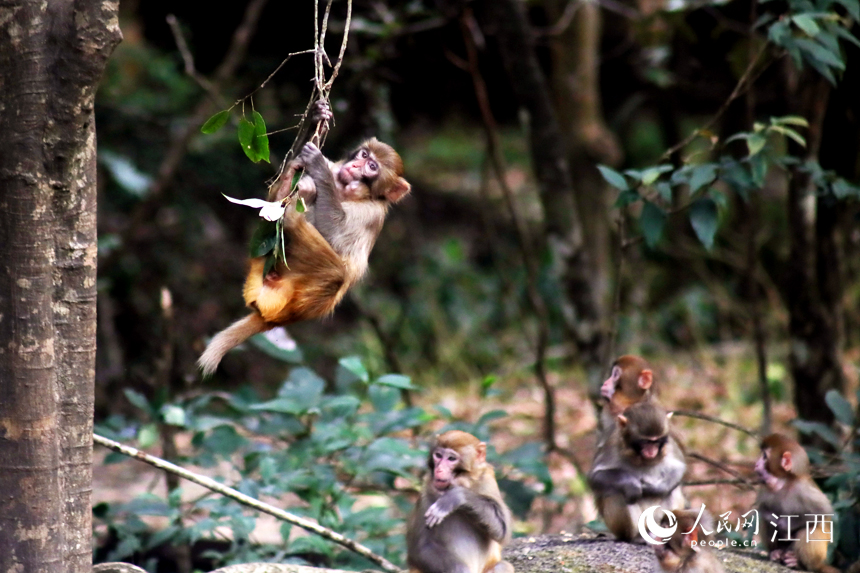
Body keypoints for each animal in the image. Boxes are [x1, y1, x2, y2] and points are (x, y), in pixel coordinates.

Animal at [198, 137, 411, 376]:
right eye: (364, 155)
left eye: (372, 167)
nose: (356, 165)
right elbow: (270, 207)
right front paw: (293, 170)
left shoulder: (371, 212)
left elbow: (336, 235)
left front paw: (318, 167)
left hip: (312, 298)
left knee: (336, 273)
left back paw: (295, 213)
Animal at [406, 430, 514, 573]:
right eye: (438, 455)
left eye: (451, 458)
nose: (439, 469)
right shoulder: (426, 490)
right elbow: (422, 547)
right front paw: (461, 570)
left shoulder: (487, 480)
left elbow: (503, 530)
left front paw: (454, 497)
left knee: (502, 566)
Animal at [587, 401, 686, 542]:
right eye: (645, 441)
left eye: (656, 441)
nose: (651, 451)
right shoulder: (612, 444)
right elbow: (596, 476)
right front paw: (631, 484)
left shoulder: (670, 444)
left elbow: (679, 468)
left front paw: (656, 489)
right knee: (618, 493)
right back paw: (635, 537)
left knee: (673, 490)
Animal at [755, 433, 838, 573]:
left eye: (764, 456)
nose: (756, 464)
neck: (784, 483)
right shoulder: (765, 487)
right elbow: (763, 509)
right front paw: (776, 521)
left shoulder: (803, 489)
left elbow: (823, 511)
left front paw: (784, 525)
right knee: (765, 521)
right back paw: (776, 552)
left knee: (810, 530)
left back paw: (799, 563)